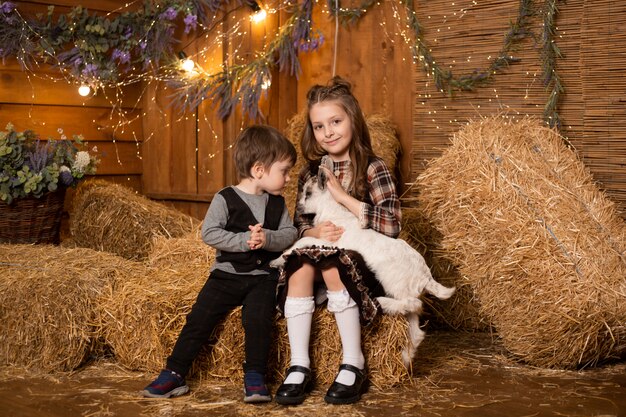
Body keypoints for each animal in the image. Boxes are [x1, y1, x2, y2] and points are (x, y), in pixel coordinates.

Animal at [272, 176, 454, 364]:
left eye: (308, 193)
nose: (298, 207)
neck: (333, 212)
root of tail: (425, 276)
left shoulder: (328, 241)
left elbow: (302, 241)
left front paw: (277, 259)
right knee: (416, 326)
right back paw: (405, 357)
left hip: (394, 283)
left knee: (413, 303)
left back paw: (382, 303)